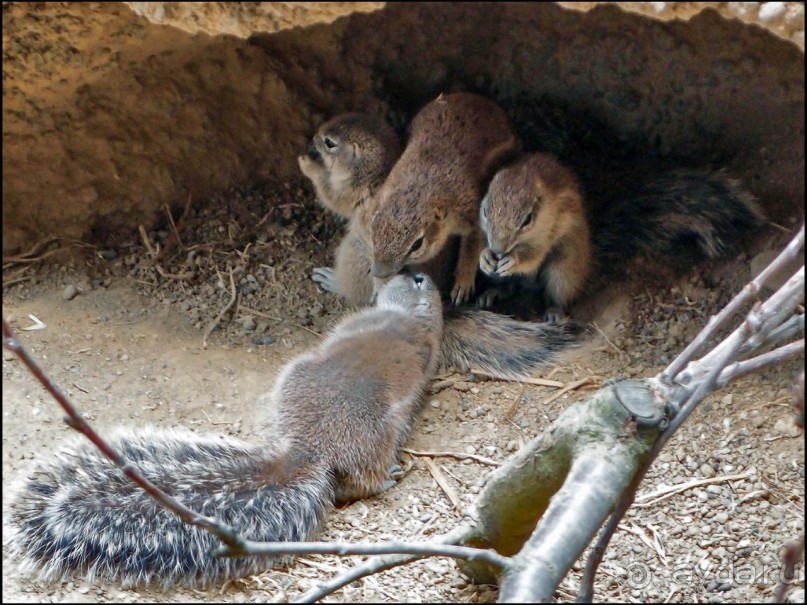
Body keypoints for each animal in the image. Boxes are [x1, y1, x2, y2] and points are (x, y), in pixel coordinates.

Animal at [9, 272, 446, 584]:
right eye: (417, 279)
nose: (420, 271)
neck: (404, 315)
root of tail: (304, 449)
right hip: (380, 438)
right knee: (359, 484)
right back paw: (389, 476)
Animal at [370, 91, 520, 304]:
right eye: (373, 229)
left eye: (417, 244)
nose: (379, 272)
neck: (421, 189)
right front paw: (379, 285)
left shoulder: (472, 215)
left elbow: (471, 249)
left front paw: (462, 284)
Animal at [480, 151, 764, 316]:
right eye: (484, 209)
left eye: (527, 219)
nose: (498, 249)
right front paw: (485, 257)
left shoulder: (548, 230)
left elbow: (534, 255)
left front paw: (513, 259)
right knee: (516, 286)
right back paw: (494, 292)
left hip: (564, 273)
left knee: (556, 294)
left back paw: (554, 311)